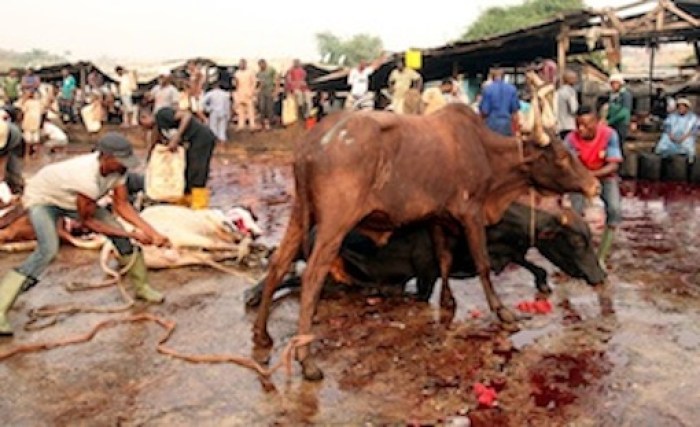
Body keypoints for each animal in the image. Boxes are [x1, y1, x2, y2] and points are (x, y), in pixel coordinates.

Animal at [243, 202, 604, 306]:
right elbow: (425, 292)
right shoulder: (426, 270)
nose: (601, 275)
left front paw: (543, 283)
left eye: (589, 239)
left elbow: (530, 264)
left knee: (295, 279)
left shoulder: (506, 253)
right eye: (576, 242)